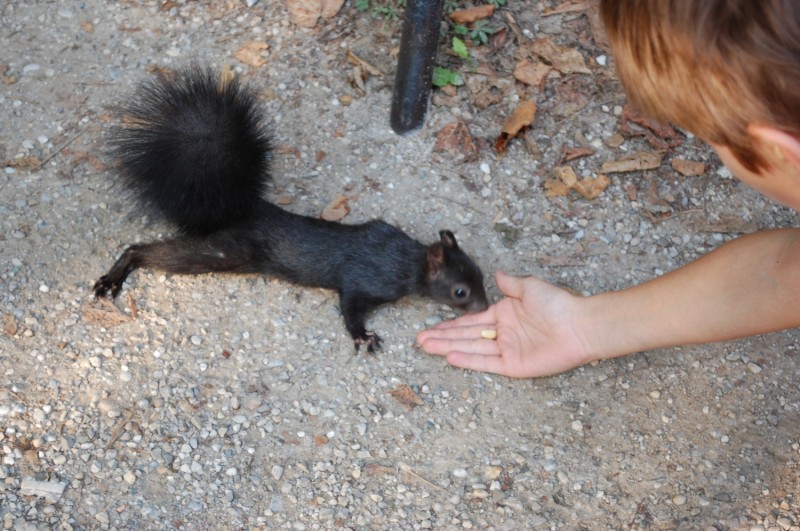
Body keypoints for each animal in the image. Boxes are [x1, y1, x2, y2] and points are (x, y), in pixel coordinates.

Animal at [96, 67, 490, 354]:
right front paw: (363, 336)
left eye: (481, 274)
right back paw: (115, 274)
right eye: (460, 292)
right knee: (148, 251)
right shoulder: (362, 280)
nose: (486, 308)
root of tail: (242, 207)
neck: (408, 261)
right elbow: (350, 308)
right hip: (223, 251)